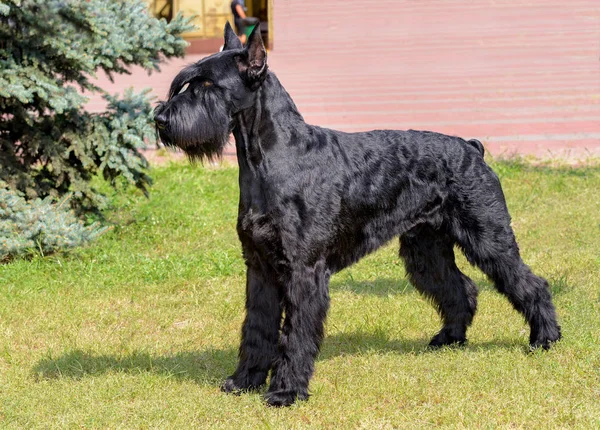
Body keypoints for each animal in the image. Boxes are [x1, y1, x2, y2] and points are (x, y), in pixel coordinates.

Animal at [155, 23, 564, 406]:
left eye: (207, 84)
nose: (160, 118)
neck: (270, 158)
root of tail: (472, 146)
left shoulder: (304, 271)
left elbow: (294, 334)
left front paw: (285, 392)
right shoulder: (259, 267)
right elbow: (257, 327)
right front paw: (244, 381)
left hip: (488, 237)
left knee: (531, 284)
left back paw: (545, 339)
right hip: (426, 248)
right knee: (460, 287)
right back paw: (449, 338)